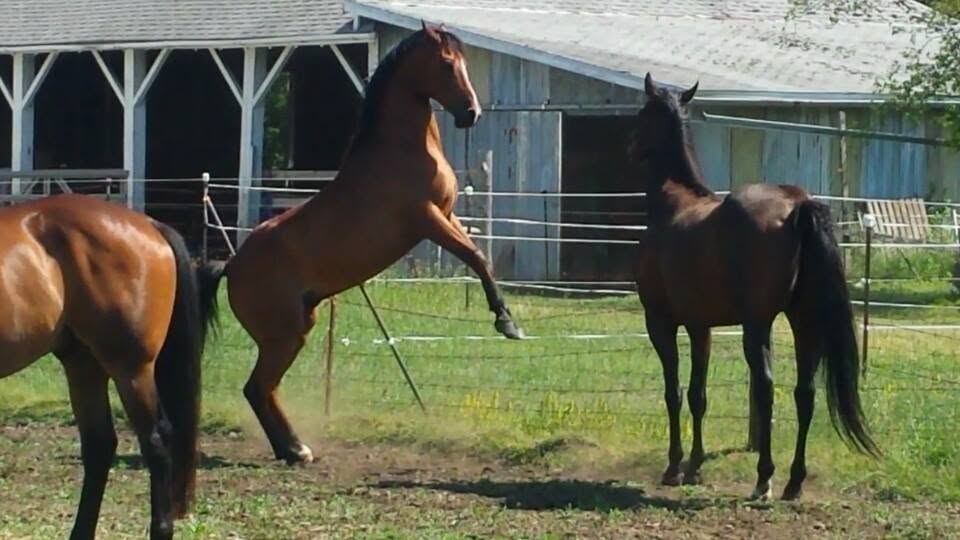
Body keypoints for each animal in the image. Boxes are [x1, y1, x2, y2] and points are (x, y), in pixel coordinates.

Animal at [0, 194, 215, 539]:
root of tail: (151, 224)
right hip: (84, 366)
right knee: (99, 445)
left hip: (131, 369)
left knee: (156, 440)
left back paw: (161, 528)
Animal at [200, 23, 523, 464]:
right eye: (445, 63)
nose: (471, 114)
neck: (402, 149)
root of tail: (232, 265)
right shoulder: (427, 219)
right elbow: (475, 257)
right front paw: (506, 322)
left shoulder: (447, 215)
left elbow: (480, 257)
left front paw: (506, 318)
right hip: (284, 336)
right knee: (257, 388)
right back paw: (296, 449)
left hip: (296, 330)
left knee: (262, 389)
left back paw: (292, 449)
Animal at [631, 74, 879, 501]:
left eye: (642, 114)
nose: (630, 148)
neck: (674, 205)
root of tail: (797, 205)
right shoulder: (700, 327)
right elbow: (697, 395)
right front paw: (694, 466)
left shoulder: (660, 322)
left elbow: (674, 392)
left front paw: (674, 466)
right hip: (804, 323)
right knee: (804, 392)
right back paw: (793, 481)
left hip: (758, 324)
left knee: (765, 387)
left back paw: (764, 478)